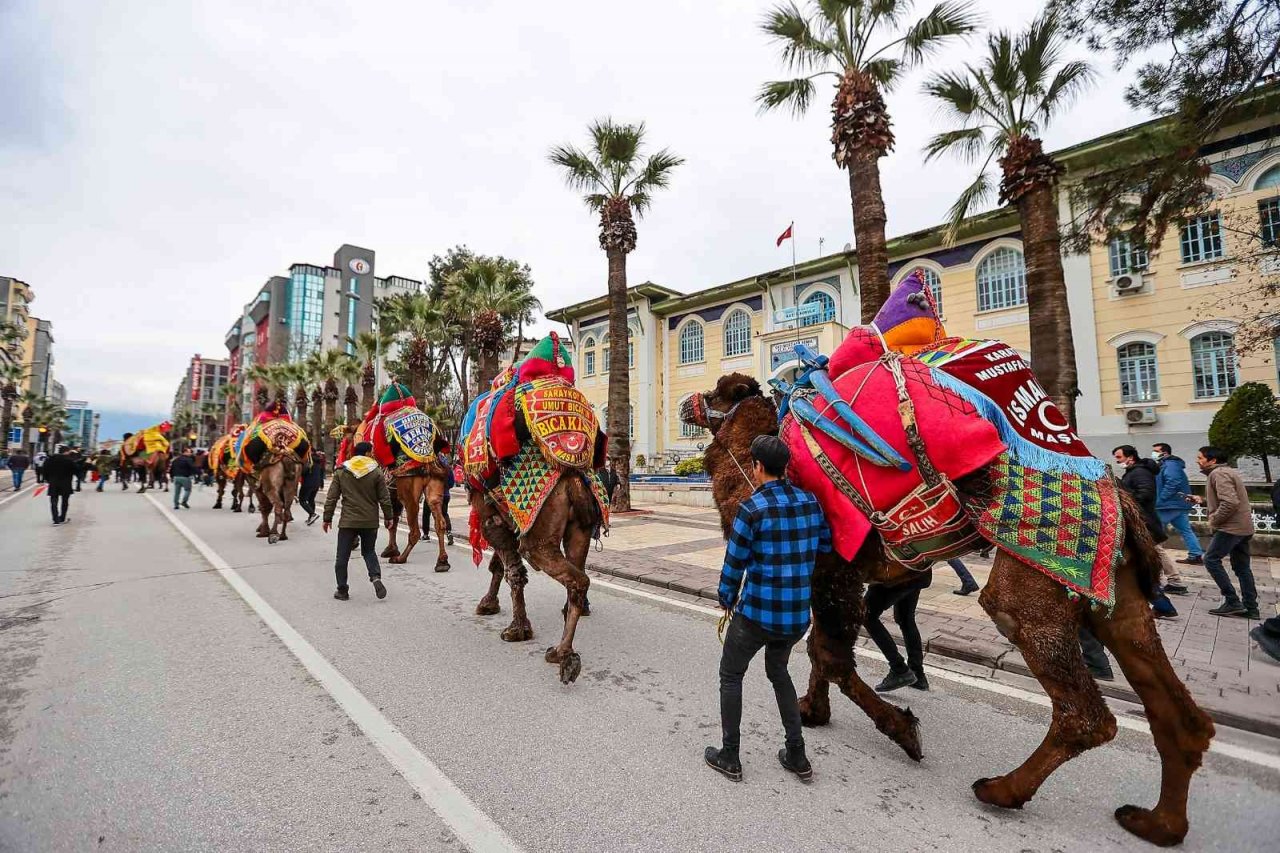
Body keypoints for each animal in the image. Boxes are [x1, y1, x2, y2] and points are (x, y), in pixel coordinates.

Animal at [680, 371, 1208, 845]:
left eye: (718, 393)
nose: (686, 404)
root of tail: (1123, 498)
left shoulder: (832, 567)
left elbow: (831, 655)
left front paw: (903, 730)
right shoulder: (831, 575)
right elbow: (820, 650)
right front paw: (814, 710)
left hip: (1034, 575)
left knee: (1081, 709)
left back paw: (1000, 790)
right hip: (1117, 590)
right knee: (1175, 710)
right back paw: (1157, 824)